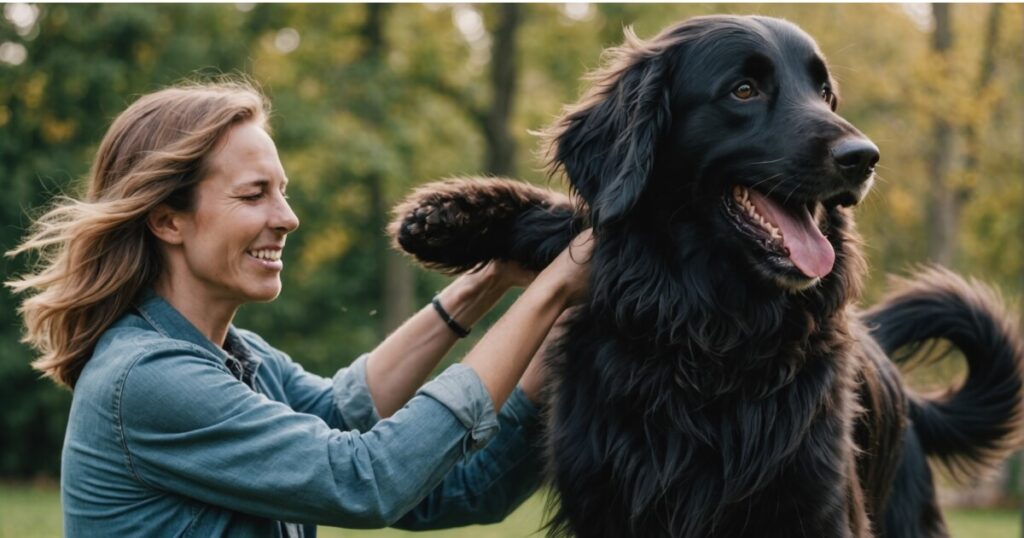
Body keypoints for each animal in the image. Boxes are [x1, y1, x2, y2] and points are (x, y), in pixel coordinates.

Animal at [387, 15, 1019, 536]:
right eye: (744, 90)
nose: (864, 157)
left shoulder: (813, 504)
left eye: (825, 93)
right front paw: (448, 216)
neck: (715, 329)